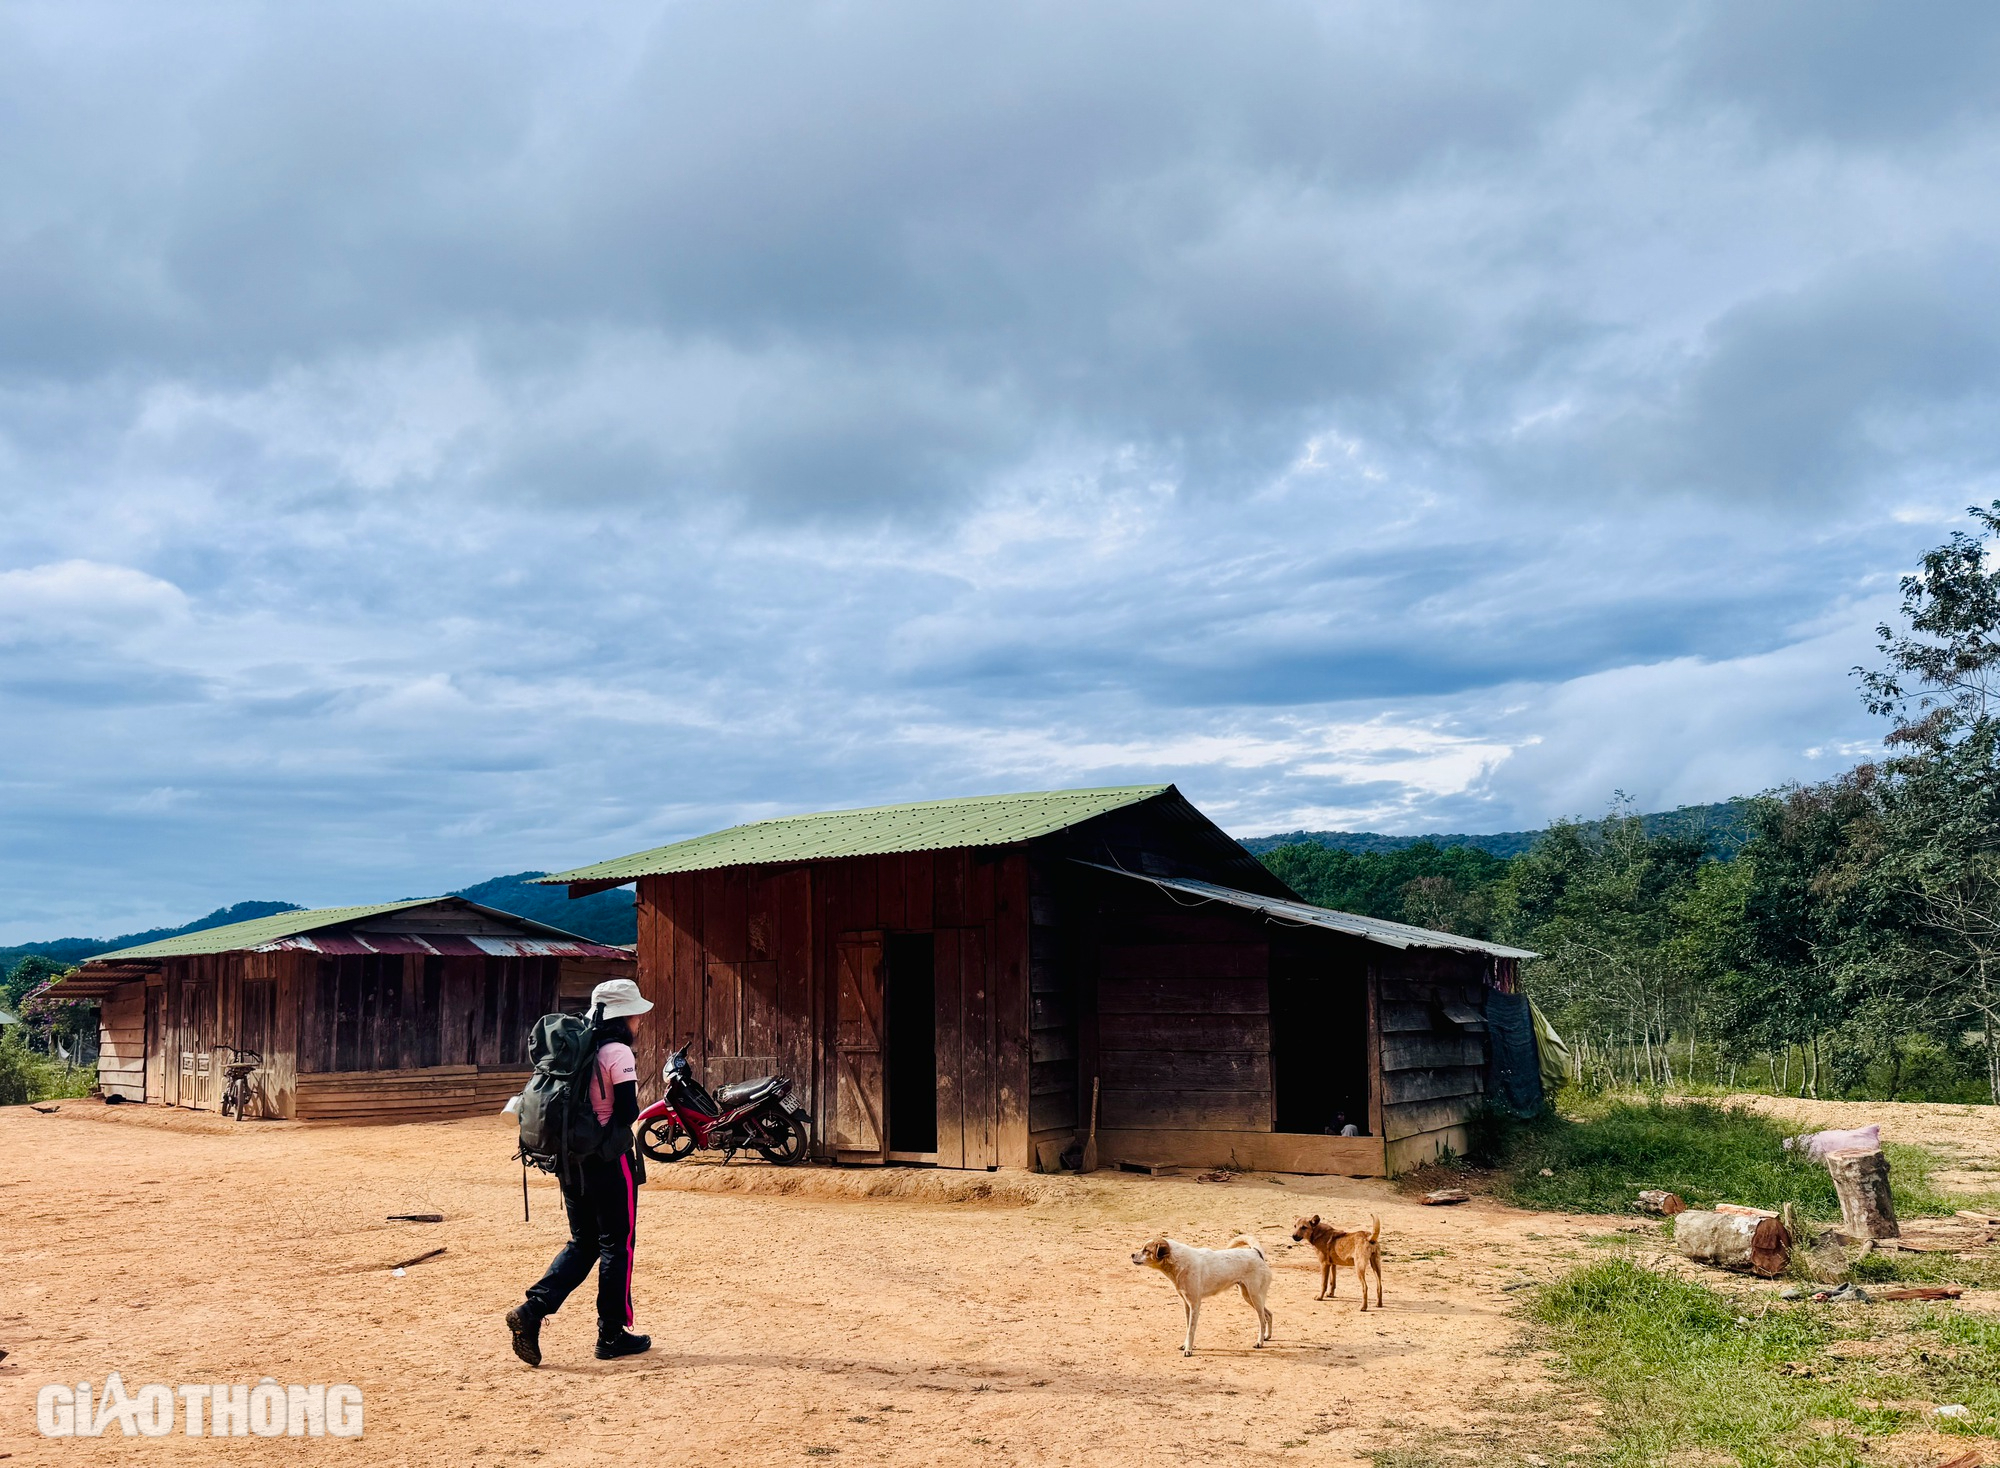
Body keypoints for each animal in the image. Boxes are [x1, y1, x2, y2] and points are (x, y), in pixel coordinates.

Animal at [1136, 1240, 1272, 1360]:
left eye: (1146, 1250)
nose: (1132, 1255)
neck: (1178, 1261)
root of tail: (1255, 1252)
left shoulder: (1195, 1304)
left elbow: (1191, 1330)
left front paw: (1188, 1350)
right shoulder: (1187, 1305)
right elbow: (1188, 1328)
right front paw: (1186, 1345)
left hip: (1254, 1296)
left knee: (1262, 1320)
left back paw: (1260, 1342)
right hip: (1248, 1296)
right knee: (1269, 1314)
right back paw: (1267, 1336)